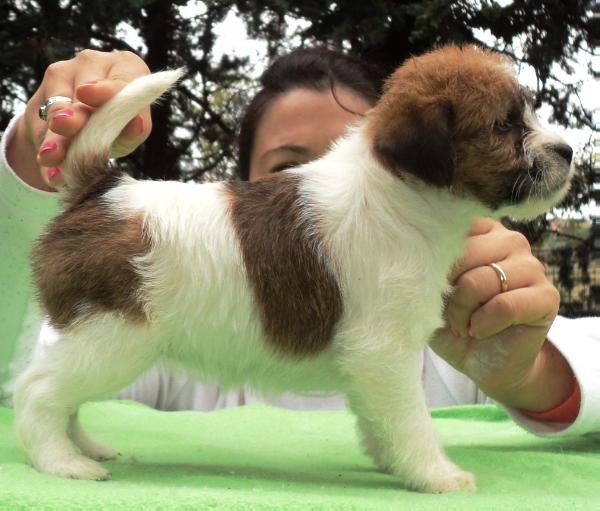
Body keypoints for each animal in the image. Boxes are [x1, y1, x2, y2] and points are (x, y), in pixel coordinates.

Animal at [16, 46, 576, 494]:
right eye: (504, 125)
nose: (569, 151)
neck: (398, 194)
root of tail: (102, 190)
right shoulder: (385, 350)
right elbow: (411, 420)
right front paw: (435, 474)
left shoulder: (376, 359)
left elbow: (381, 418)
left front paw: (390, 460)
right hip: (111, 338)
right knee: (37, 391)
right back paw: (64, 462)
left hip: (97, 341)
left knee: (58, 393)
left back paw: (85, 446)